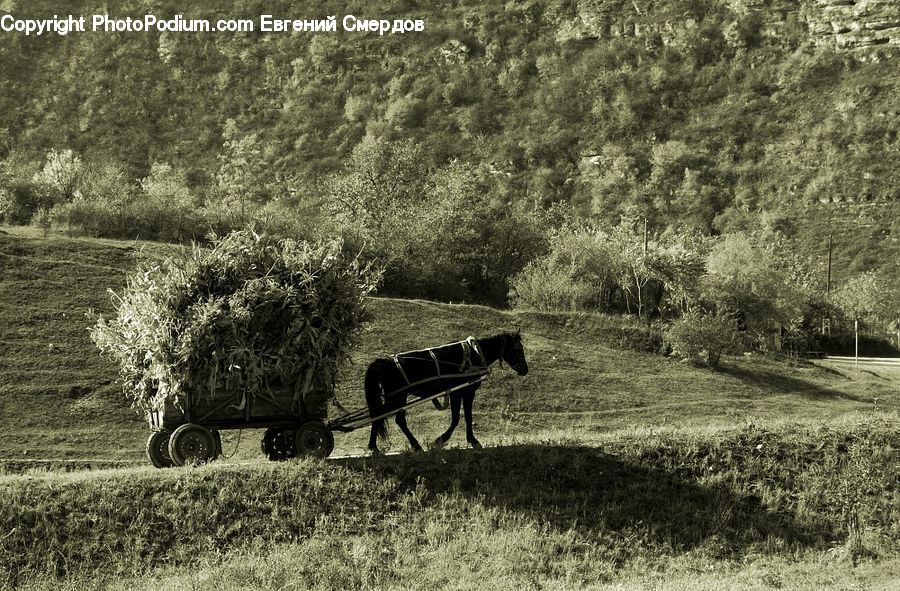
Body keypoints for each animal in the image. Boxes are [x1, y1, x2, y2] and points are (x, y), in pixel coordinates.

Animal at [364, 330, 528, 456]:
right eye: (519, 349)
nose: (525, 369)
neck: (474, 354)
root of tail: (382, 362)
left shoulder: (461, 393)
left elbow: (464, 417)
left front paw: (468, 440)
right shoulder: (463, 392)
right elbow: (459, 418)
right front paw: (443, 440)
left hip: (397, 397)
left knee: (388, 418)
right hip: (397, 396)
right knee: (385, 417)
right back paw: (386, 447)